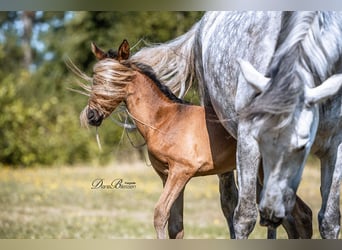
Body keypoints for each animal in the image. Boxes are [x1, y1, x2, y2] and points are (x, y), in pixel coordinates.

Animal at [133, 11, 342, 238]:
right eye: (260, 141)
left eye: (302, 146)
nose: (271, 213)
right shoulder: (248, 141)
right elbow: (244, 217)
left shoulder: (335, 147)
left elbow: (329, 220)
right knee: (230, 202)